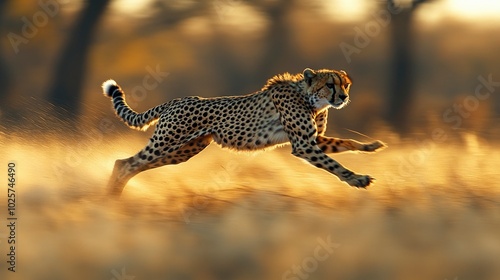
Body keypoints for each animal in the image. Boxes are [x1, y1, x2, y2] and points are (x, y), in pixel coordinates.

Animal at [102, 68, 386, 196]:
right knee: (125, 163)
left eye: (345, 84)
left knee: (132, 164)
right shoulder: (304, 145)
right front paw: (357, 179)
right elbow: (334, 164)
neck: (311, 98)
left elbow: (346, 142)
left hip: (182, 151)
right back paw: (111, 199)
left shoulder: (314, 139)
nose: (344, 97)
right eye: (330, 84)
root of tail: (176, 100)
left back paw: (115, 198)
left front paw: (370, 146)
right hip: (166, 143)